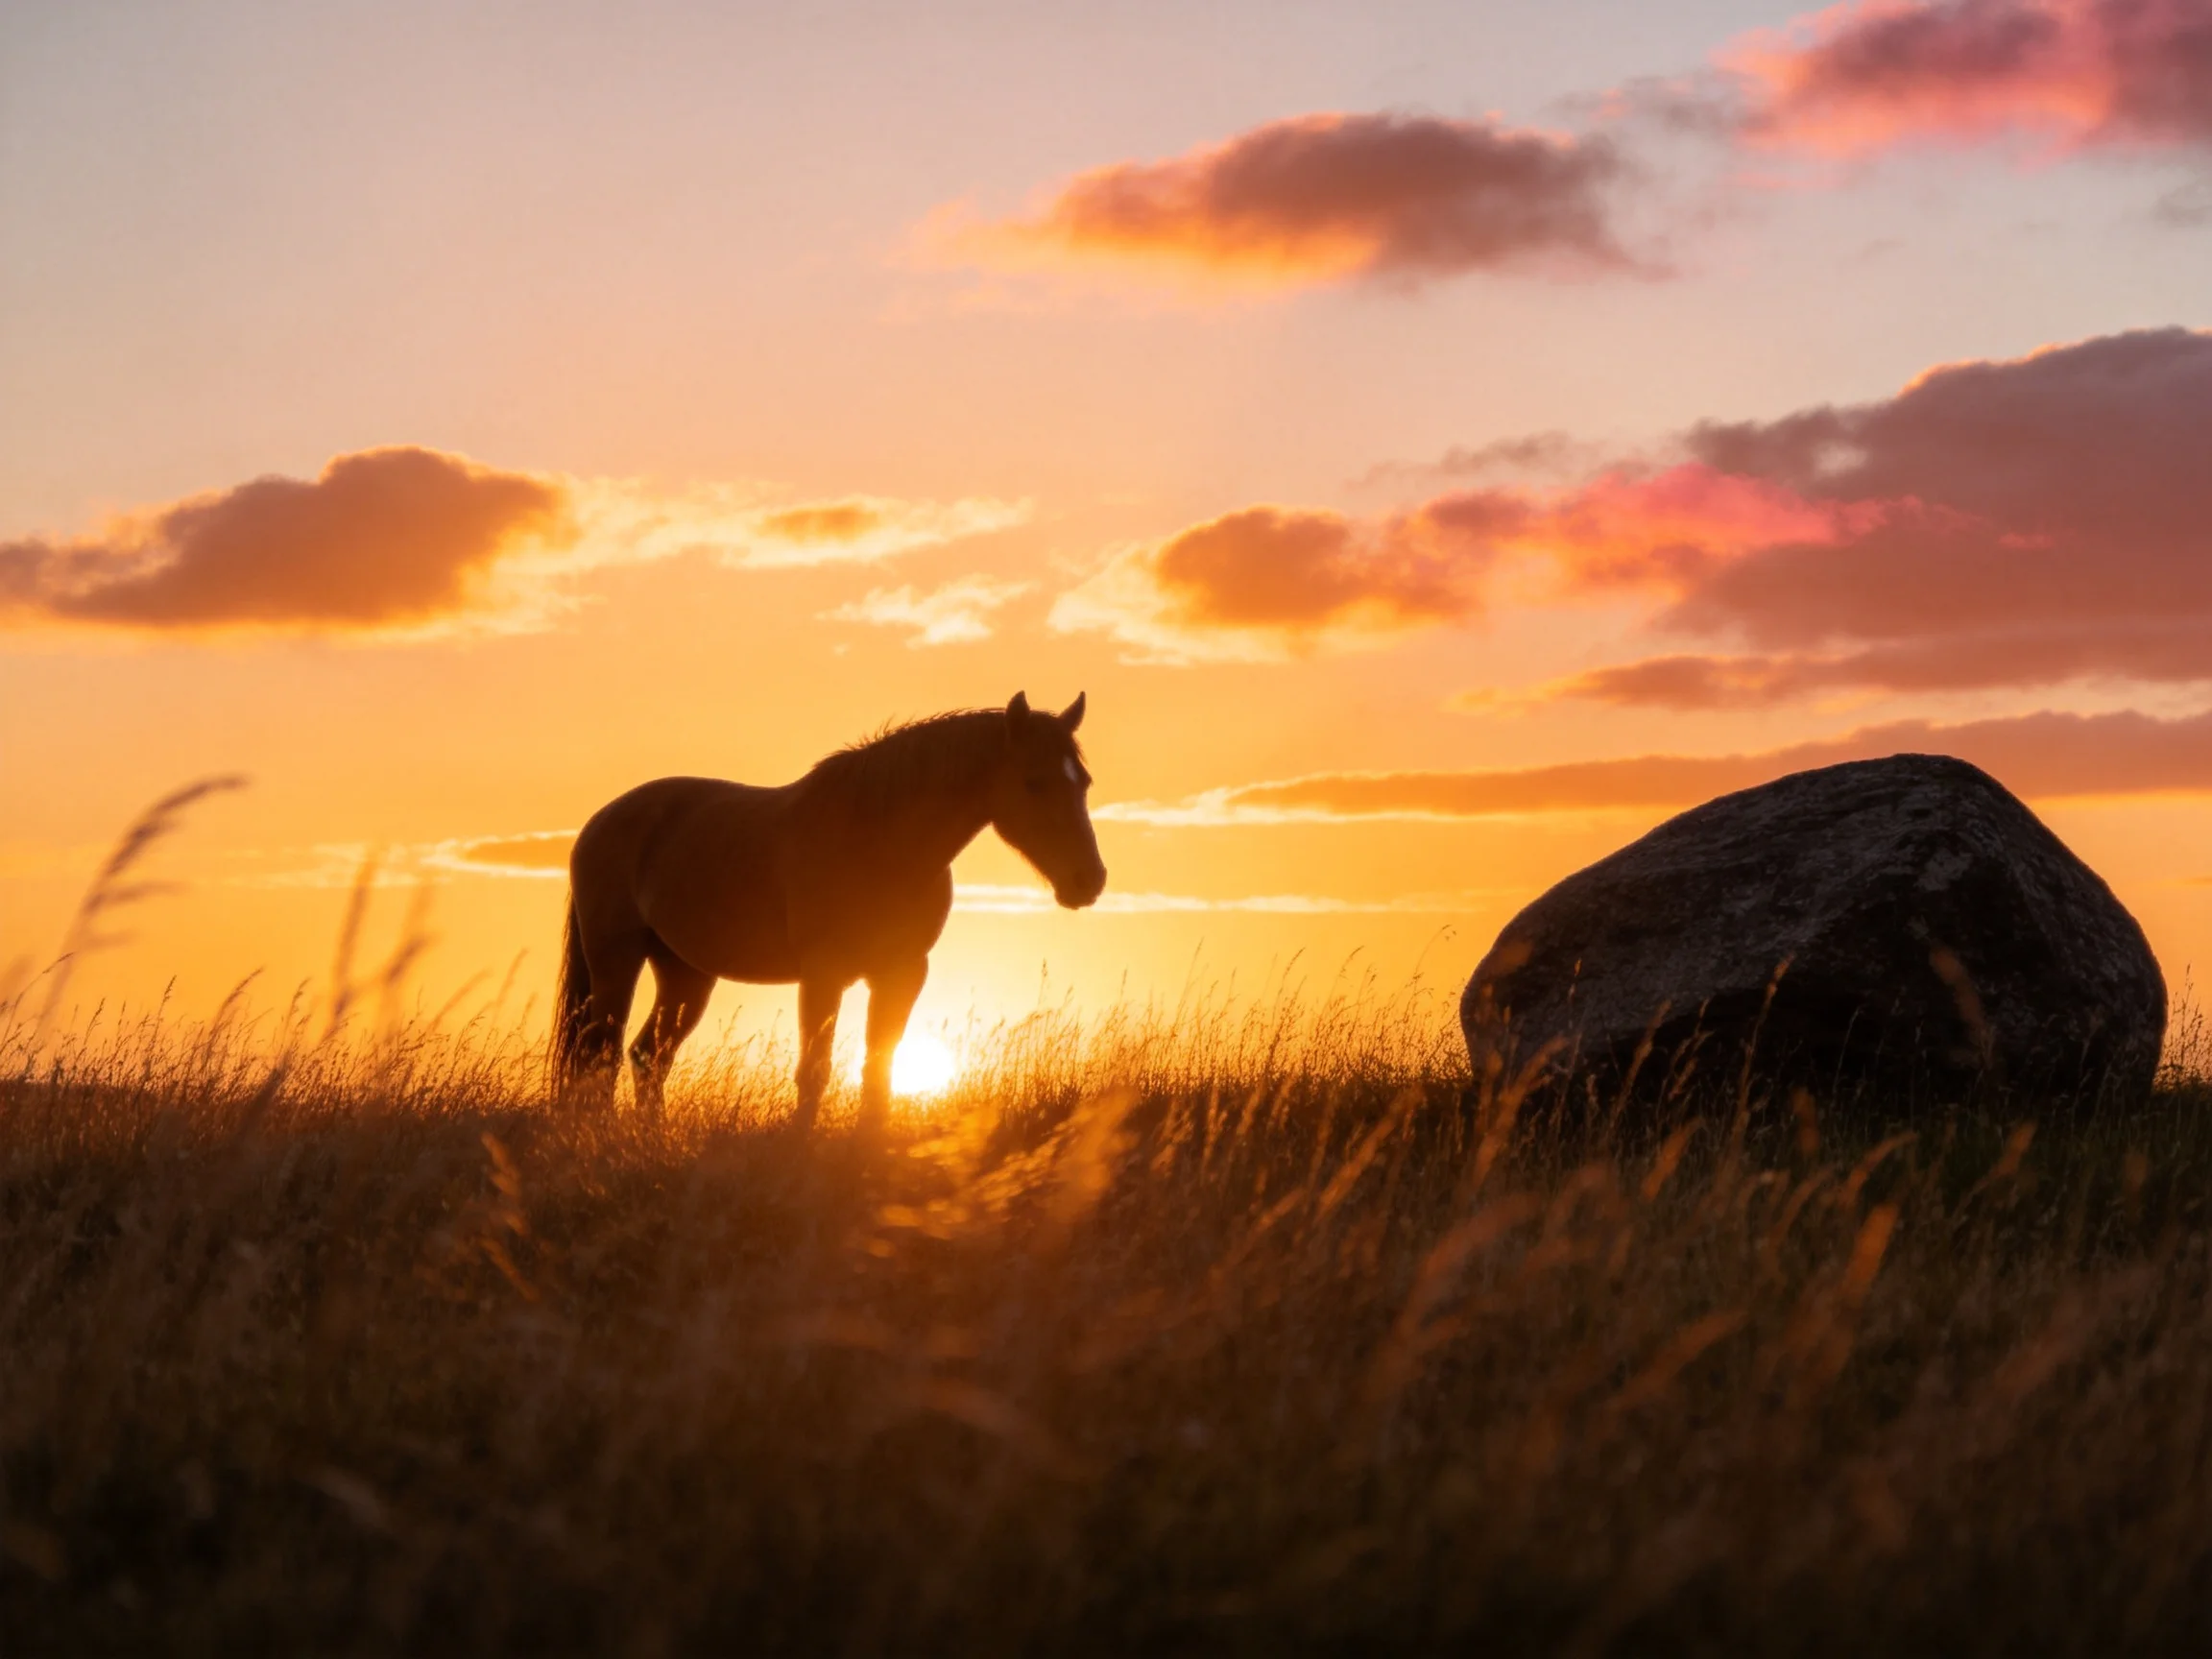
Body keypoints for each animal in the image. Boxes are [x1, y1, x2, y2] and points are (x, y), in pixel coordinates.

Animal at [551, 691, 1106, 1125]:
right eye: (1034, 781)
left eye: (1083, 782)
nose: (1090, 881)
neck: (880, 846)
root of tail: (600, 822)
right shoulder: (823, 975)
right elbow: (814, 1074)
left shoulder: (902, 974)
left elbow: (879, 1071)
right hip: (617, 962)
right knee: (599, 1058)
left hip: (685, 974)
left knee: (648, 1057)